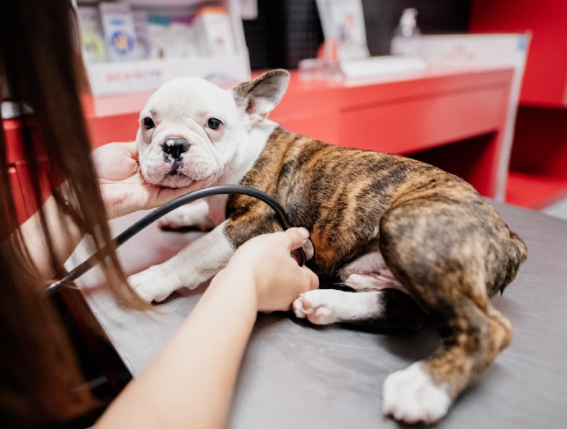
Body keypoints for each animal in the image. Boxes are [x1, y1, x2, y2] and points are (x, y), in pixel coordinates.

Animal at [129, 69, 527, 424]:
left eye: (213, 123)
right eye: (148, 123)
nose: (174, 144)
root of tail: (511, 239)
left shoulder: (257, 220)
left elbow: (194, 252)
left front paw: (150, 279)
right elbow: (202, 214)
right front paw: (183, 214)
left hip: (408, 228)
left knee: (487, 328)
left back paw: (423, 388)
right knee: (404, 310)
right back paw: (326, 303)